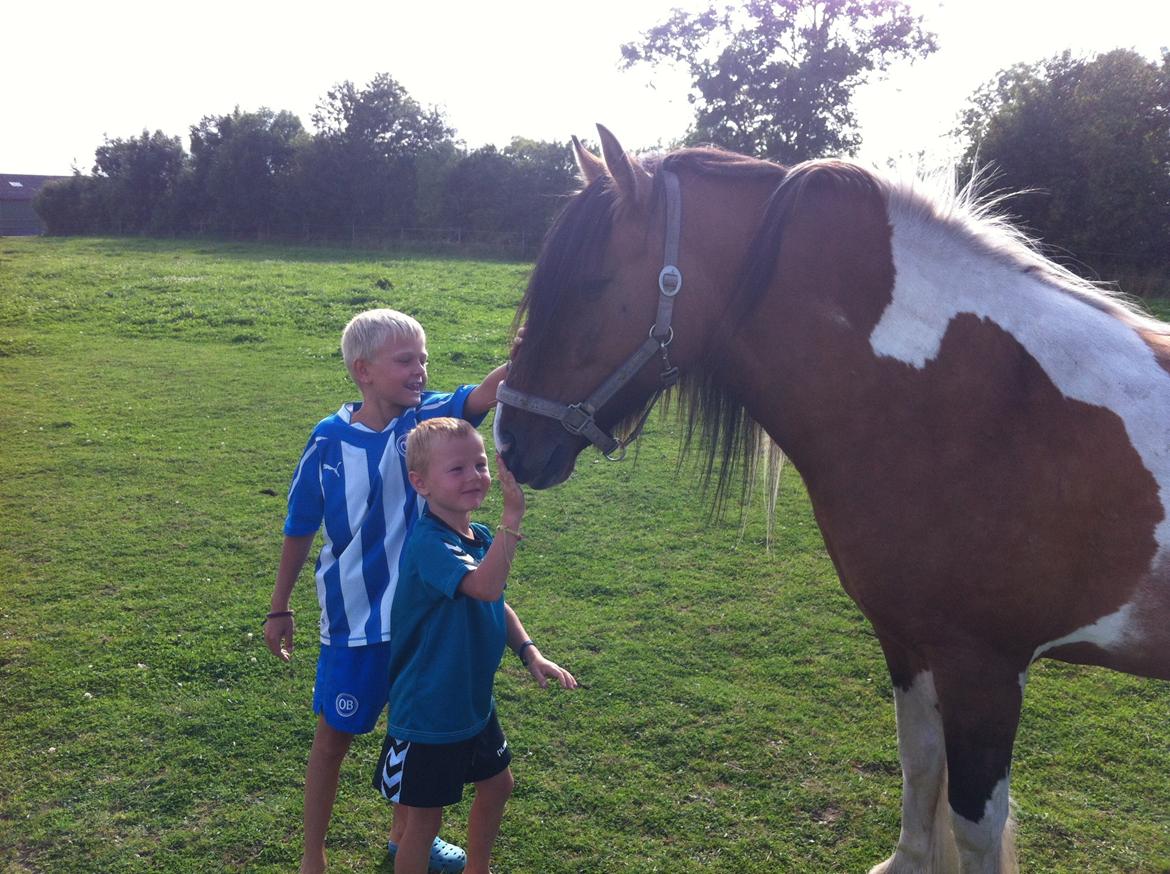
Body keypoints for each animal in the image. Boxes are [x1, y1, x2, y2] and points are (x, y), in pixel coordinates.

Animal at [493, 124, 1170, 874]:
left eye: (591, 283)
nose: (510, 441)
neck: (989, 408)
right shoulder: (910, 642)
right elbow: (919, 764)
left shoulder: (986, 670)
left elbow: (974, 823)